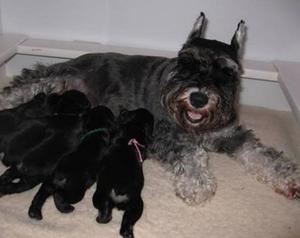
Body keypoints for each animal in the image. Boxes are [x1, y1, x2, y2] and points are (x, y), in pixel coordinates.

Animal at [0, 12, 298, 205]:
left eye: (227, 71)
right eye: (185, 62)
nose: (198, 98)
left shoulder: (232, 135)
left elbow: (262, 154)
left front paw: (290, 178)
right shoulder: (166, 136)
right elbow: (192, 154)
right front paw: (197, 182)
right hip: (49, 81)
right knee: (13, 92)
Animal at [92, 108, 154, 238]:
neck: (135, 125)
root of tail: (118, 191)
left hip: (100, 196)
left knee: (105, 213)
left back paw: (101, 219)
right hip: (136, 205)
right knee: (127, 221)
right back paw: (128, 233)